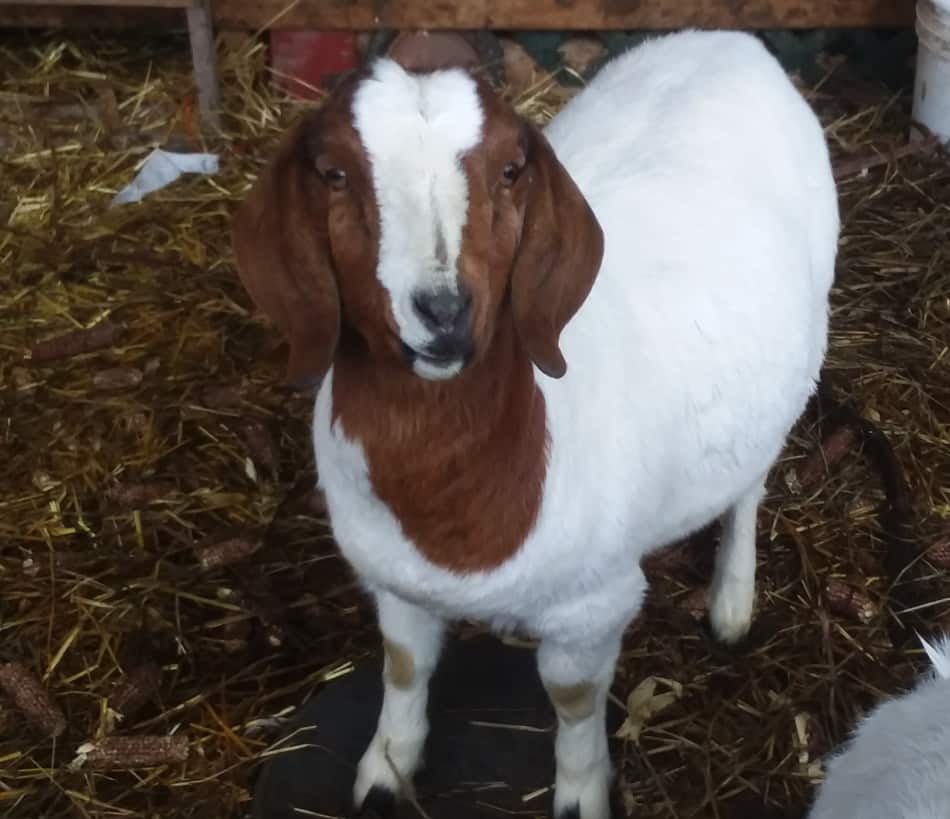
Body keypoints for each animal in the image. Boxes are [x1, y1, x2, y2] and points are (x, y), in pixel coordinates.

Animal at [231, 28, 840, 819]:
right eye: (334, 173)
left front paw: (581, 793)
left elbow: (574, 702)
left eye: (512, 169)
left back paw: (732, 602)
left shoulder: (592, 607)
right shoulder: (392, 580)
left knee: (749, 484)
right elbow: (404, 667)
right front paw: (386, 771)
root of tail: (728, 38)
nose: (445, 310)